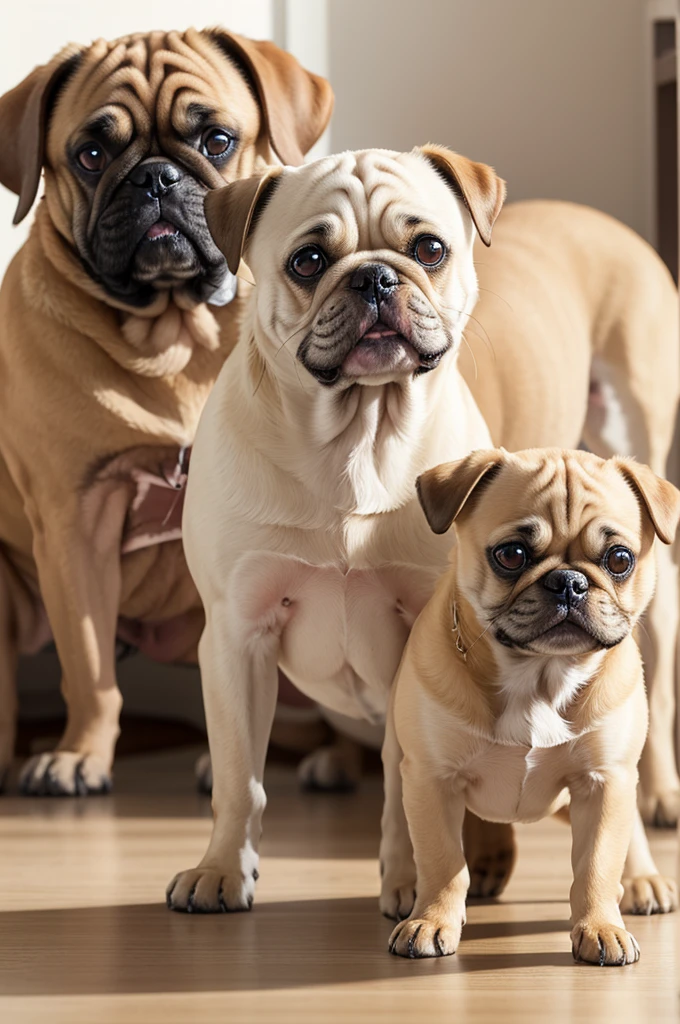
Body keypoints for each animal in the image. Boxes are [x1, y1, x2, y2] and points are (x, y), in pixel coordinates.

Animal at [0, 25, 331, 790]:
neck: (177, 336)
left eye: (217, 139)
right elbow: (89, 668)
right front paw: (80, 754)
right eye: (90, 155)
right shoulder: (75, 521)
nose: (156, 177)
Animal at [166, 144, 675, 913]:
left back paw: (645, 842)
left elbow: (402, 791)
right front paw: (224, 868)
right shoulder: (236, 633)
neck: (356, 440)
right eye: (308, 261)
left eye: (428, 249)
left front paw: (408, 882)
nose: (375, 276)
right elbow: (239, 778)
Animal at [385, 444, 680, 962]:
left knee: (631, 833)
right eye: (511, 555)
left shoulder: (604, 781)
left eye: (619, 559)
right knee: (404, 828)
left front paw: (601, 926)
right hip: (398, 761)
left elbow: (597, 863)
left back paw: (642, 879)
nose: (569, 582)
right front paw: (432, 919)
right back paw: (408, 885)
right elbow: (441, 859)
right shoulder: (431, 777)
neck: (540, 677)